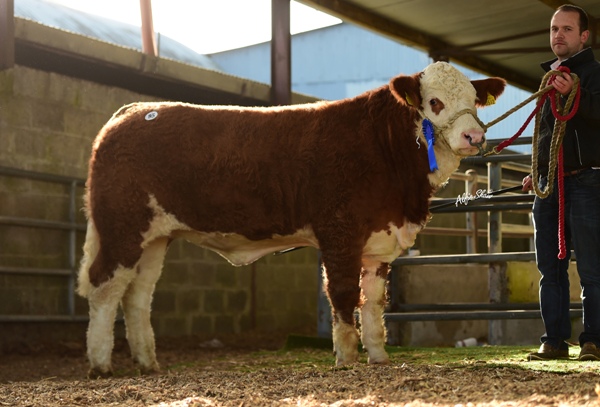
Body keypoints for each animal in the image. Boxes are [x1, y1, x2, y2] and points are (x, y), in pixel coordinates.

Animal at [77, 62, 505, 378]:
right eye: (434, 101)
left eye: (474, 99)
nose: (473, 136)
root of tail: (131, 112)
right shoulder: (339, 232)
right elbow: (343, 294)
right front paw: (346, 358)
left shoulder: (379, 240)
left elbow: (373, 302)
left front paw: (379, 356)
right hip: (121, 226)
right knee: (105, 286)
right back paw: (100, 364)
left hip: (154, 237)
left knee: (138, 294)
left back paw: (148, 362)